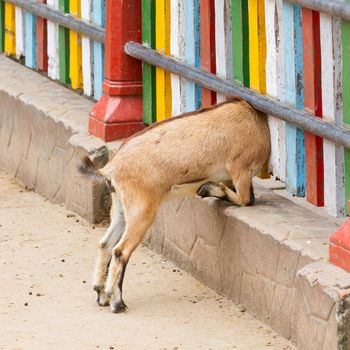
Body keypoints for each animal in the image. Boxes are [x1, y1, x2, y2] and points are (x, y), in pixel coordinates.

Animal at [80, 98, 270, 312]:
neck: (251, 116)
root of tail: (111, 168)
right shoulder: (240, 169)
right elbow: (247, 199)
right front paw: (207, 188)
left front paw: (207, 188)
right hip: (142, 209)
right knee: (121, 251)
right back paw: (117, 301)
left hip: (121, 208)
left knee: (106, 243)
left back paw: (101, 294)